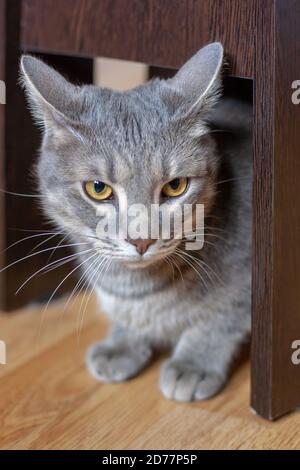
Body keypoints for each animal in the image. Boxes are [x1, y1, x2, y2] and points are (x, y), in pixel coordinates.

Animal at [19, 44, 252, 402]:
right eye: (98, 189)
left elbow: (220, 320)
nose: (141, 240)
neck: (136, 287)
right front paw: (123, 342)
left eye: (175, 186)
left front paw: (194, 363)